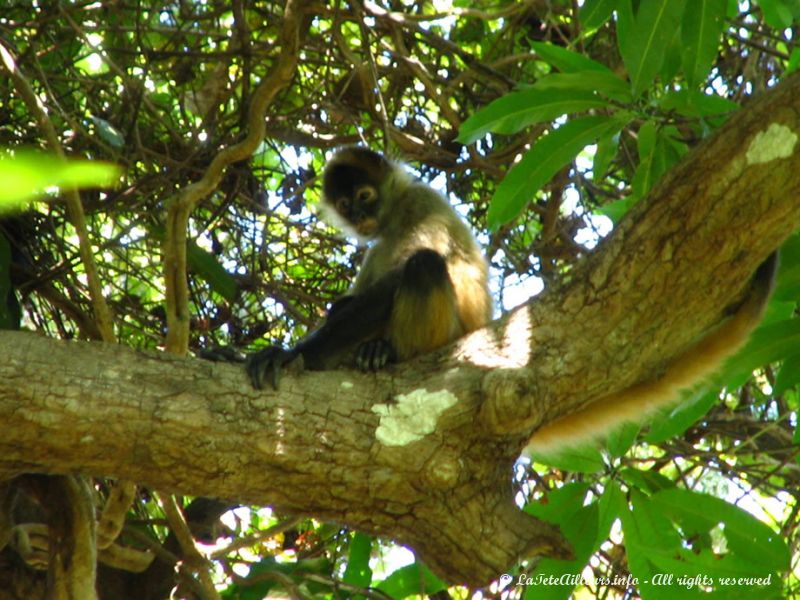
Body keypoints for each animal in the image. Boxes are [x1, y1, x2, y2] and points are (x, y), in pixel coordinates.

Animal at [247, 148, 490, 386]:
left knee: (424, 263)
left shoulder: (422, 200)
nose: (358, 216)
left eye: (365, 196)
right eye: (345, 205)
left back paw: (390, 352)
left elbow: (399, 274)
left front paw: (292, 354)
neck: (394, 219)